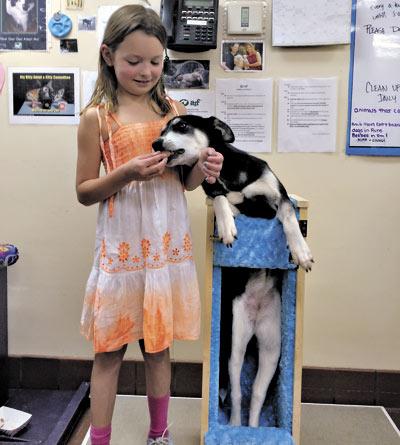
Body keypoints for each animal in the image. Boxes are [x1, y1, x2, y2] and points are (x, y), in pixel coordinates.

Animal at [152, 115, 312, 426]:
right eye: (162, 129)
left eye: (181, 126)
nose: (155, 143)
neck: (227, 171)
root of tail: (256, 316)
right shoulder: (222, 196)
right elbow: (221, 199)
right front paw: (226, 227)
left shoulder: (278, 197)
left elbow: (289, 216)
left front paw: (300, 250)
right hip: (236, 343)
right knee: (238, 394)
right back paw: (237, 426)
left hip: (272, 348)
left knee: (257, 396)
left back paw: (252, 428)